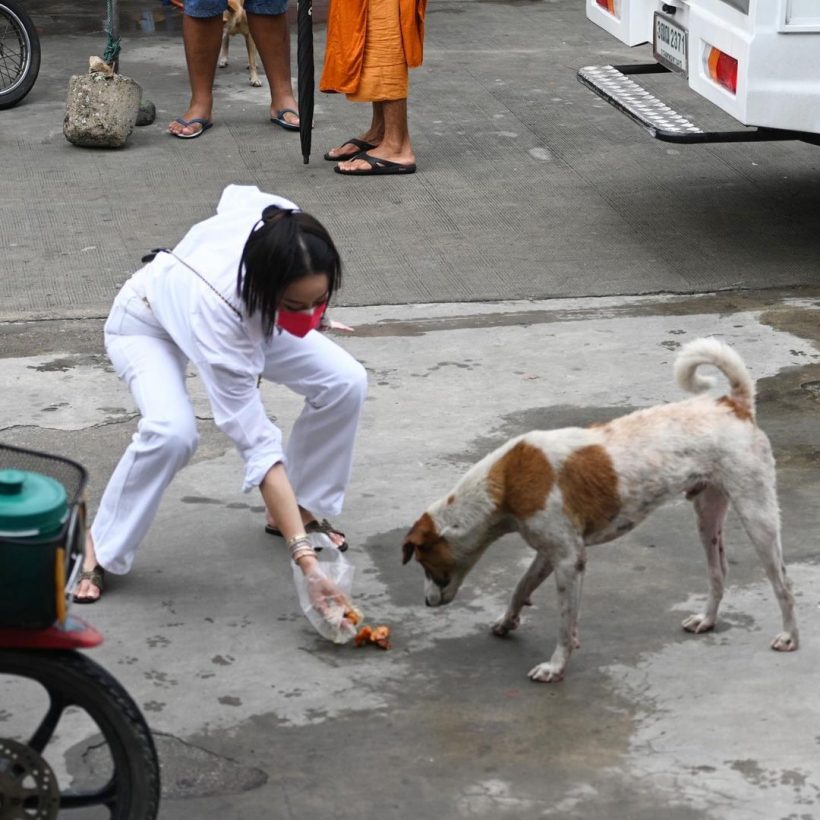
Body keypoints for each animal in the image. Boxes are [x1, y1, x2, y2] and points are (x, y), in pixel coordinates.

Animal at [404, 336, 800, 684]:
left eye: (423, 562)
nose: (426, 603)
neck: (505, 483)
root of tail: (734, 405)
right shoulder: (552, 551)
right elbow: (521, 587)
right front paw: (507, 622)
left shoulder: (569, 560)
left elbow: (564, 624)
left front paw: (555, 666)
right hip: (707, 515)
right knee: (719, 572)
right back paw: (707, 620)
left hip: (757, 514)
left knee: (783, 580)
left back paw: (790, 637)